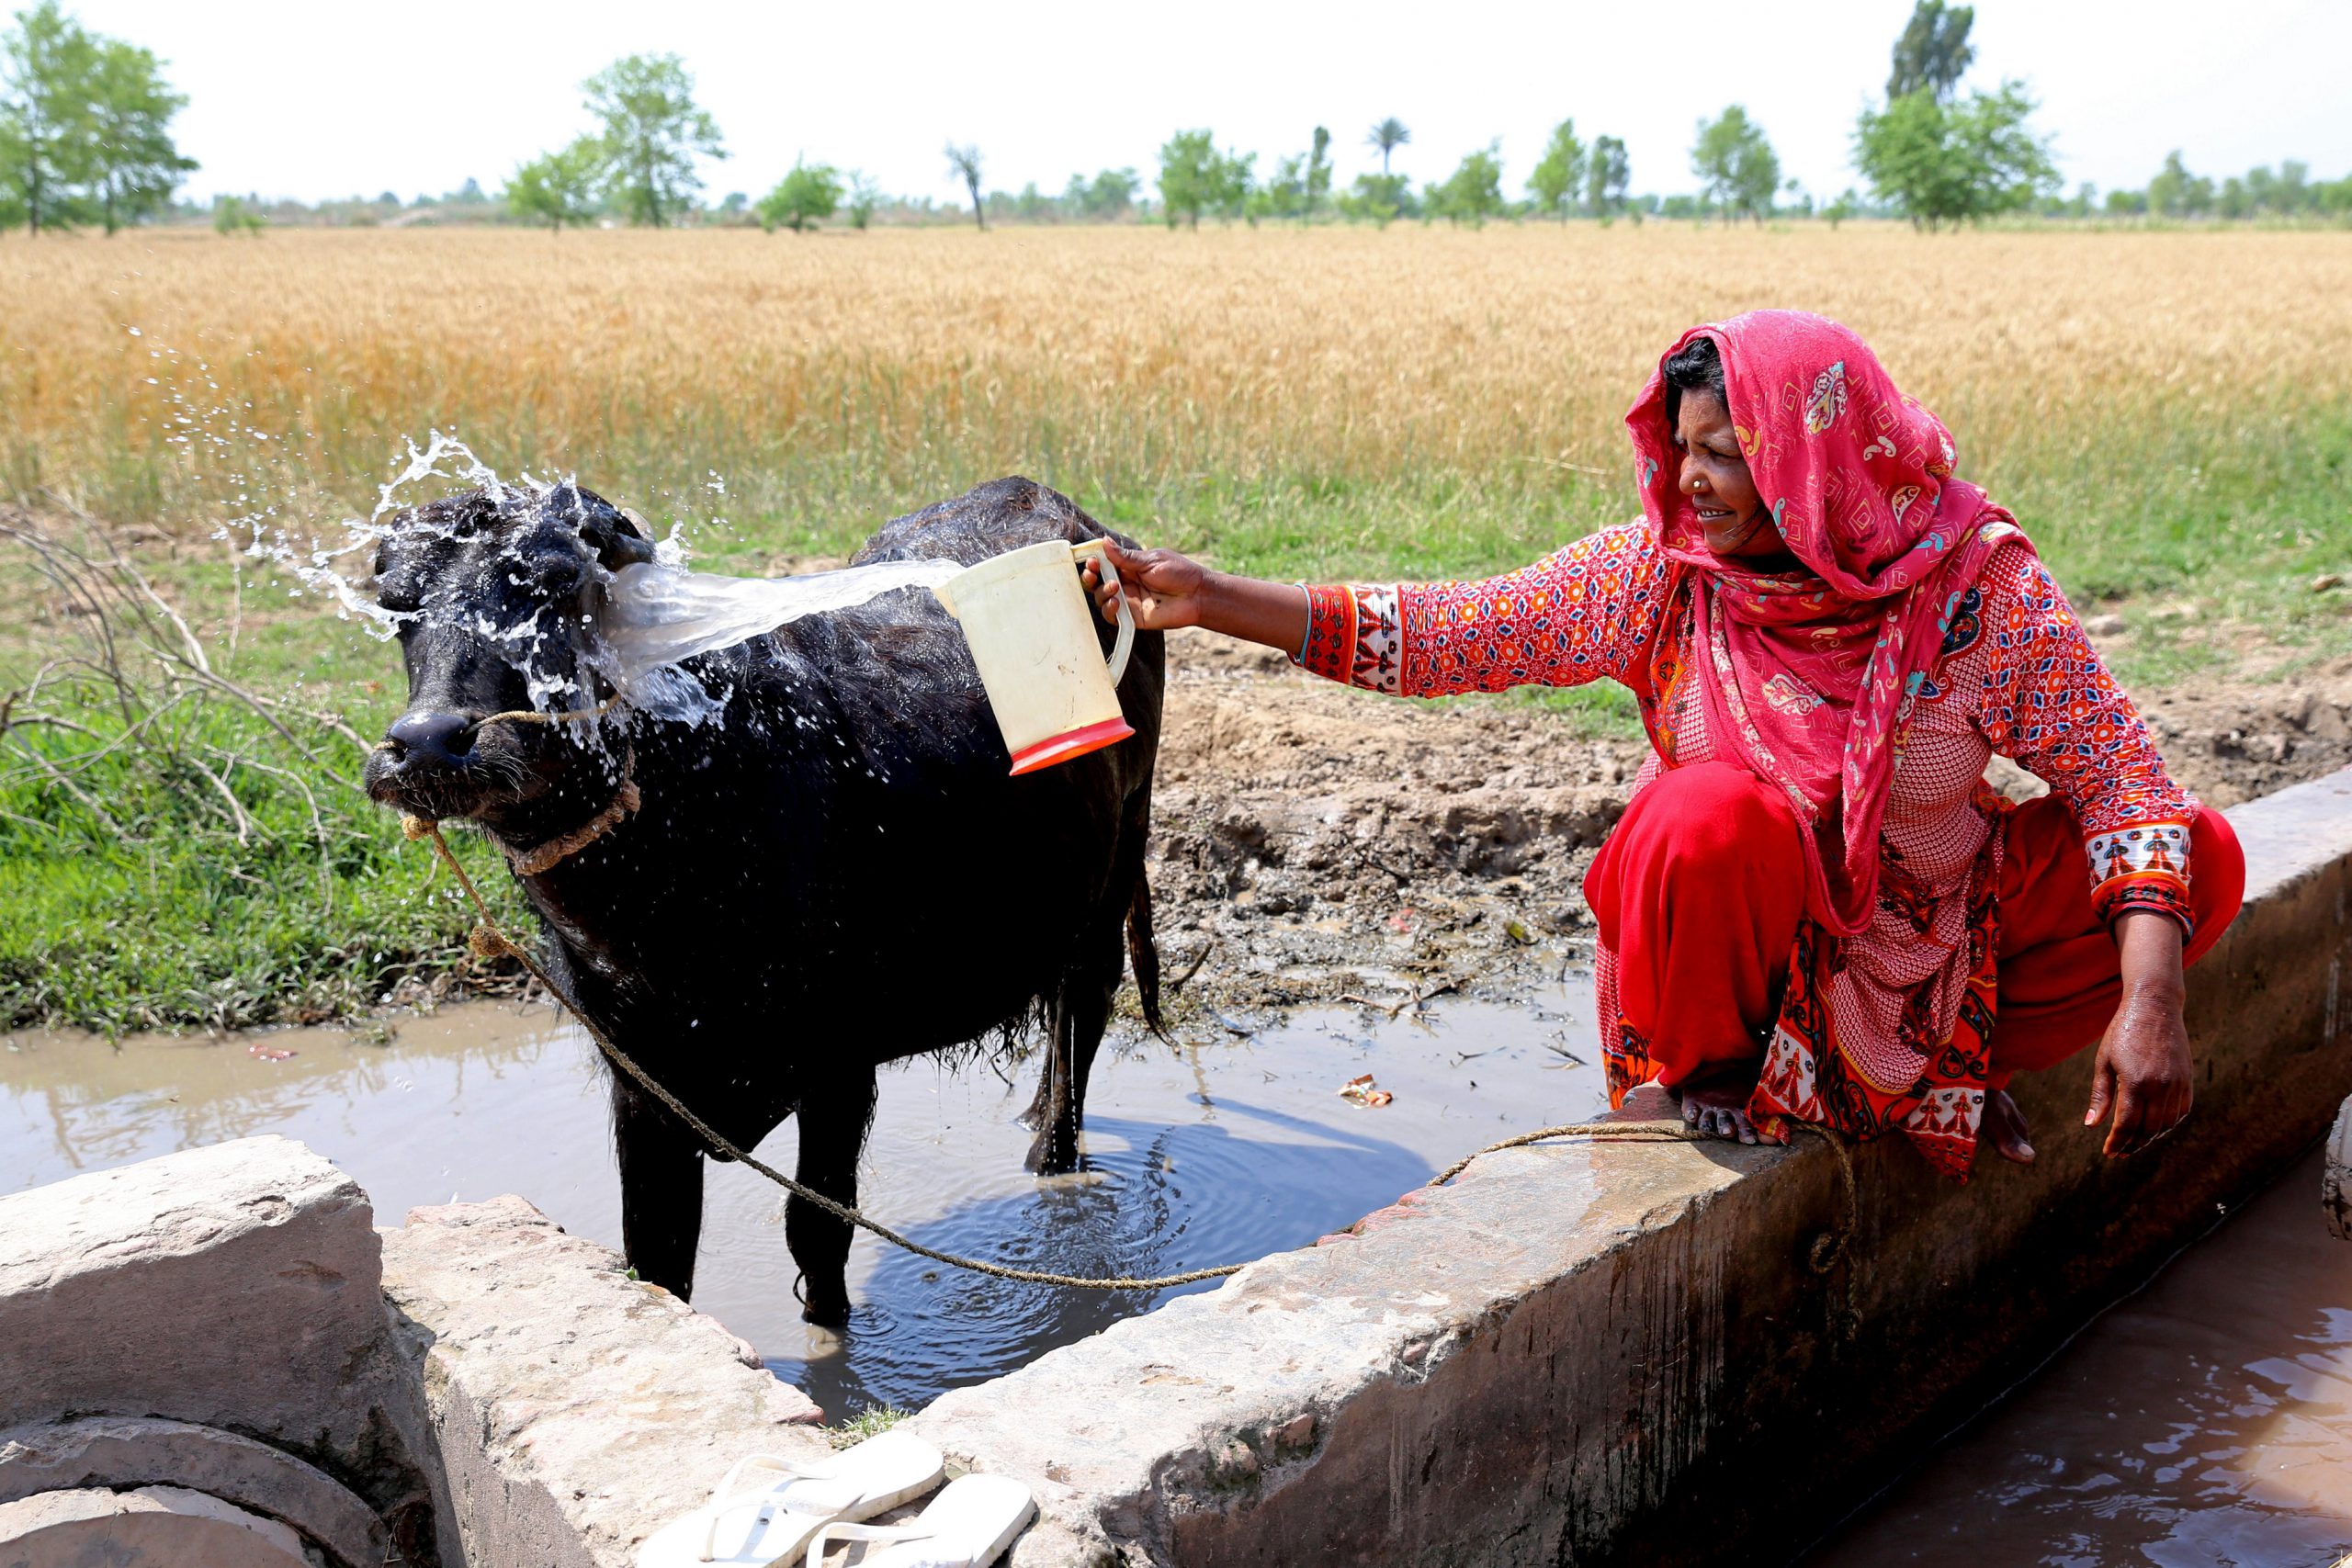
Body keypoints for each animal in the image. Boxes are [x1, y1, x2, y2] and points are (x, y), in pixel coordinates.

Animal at [362, 474, 1161, 1325]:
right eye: (399, 604)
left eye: (557, 583)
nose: (428, 741)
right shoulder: (642, 1085)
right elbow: (655, 1258)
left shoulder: (841, 1063)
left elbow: (818, 1228)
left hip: (1119, 858)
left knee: (1084, 1003)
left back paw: (1052, 1150)